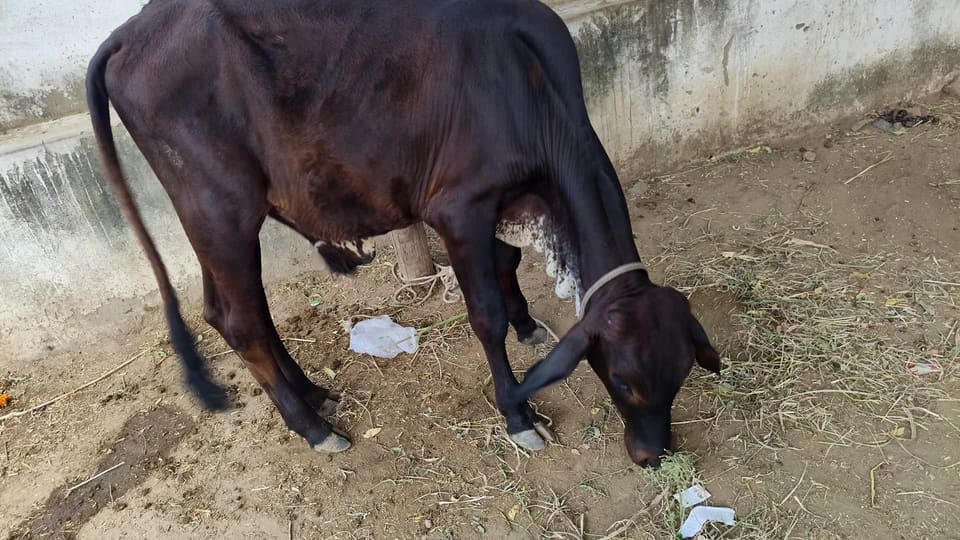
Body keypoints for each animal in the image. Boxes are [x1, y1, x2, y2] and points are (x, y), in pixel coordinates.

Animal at [86, 0, 721, 467]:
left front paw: (526, 324)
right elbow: (485, 313)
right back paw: (314, 426)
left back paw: (313, 393)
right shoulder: (460, 207)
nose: (652, 455)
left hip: (214, 219)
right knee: (241, 321)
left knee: (233, 312)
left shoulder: (497, 202)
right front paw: (518, 414)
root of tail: (128, 33)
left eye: (681, 374)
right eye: (624, 382)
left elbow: (507, 264)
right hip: (220, 208)